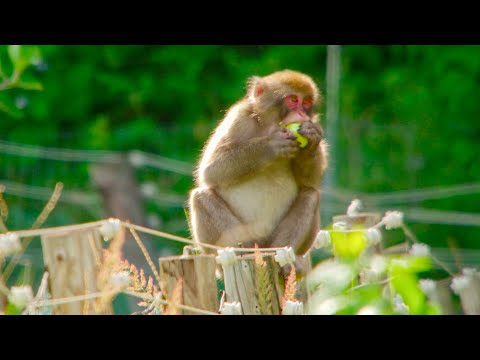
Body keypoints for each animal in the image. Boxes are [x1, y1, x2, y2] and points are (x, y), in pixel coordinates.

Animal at [189, 69, 328, 274]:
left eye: (307, 102)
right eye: (293, 99)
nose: (302, 113)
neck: (268, 125)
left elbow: (309, 182)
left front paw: (312, 139)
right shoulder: (239, 118)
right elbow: (210, 170)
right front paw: (271, 145)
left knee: (311, 195)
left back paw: (285, 257)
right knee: (200, 197)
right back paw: (240, 252)